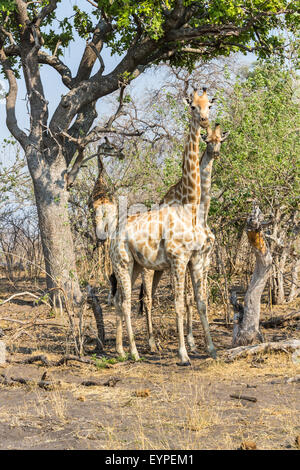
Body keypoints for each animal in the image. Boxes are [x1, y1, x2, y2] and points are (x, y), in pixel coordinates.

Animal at [109, 89, 217, 368]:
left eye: (209, 105)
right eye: (192, 106)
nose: (204, 121)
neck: (189, 208)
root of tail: (113, 236)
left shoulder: (196, 259)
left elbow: (201, 302)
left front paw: (211, 349)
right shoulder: (178, 258)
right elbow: (178, 304)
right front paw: (183, 354)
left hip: (136, 266)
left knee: (119, 300)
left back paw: (120, 350)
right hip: (123, 263)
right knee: (126, 302)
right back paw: (135, 352)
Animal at [139, 123, 231, 350]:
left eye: (220, 140)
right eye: (208, 140)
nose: (215, 153)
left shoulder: (204, 258)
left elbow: (198, 297)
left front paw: (195, 340)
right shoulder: (187, 257)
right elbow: (188, 297)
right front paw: (190, 341)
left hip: (158, 270)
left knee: (150, 296)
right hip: (146, 268)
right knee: (147, 299)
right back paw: (152, 343)